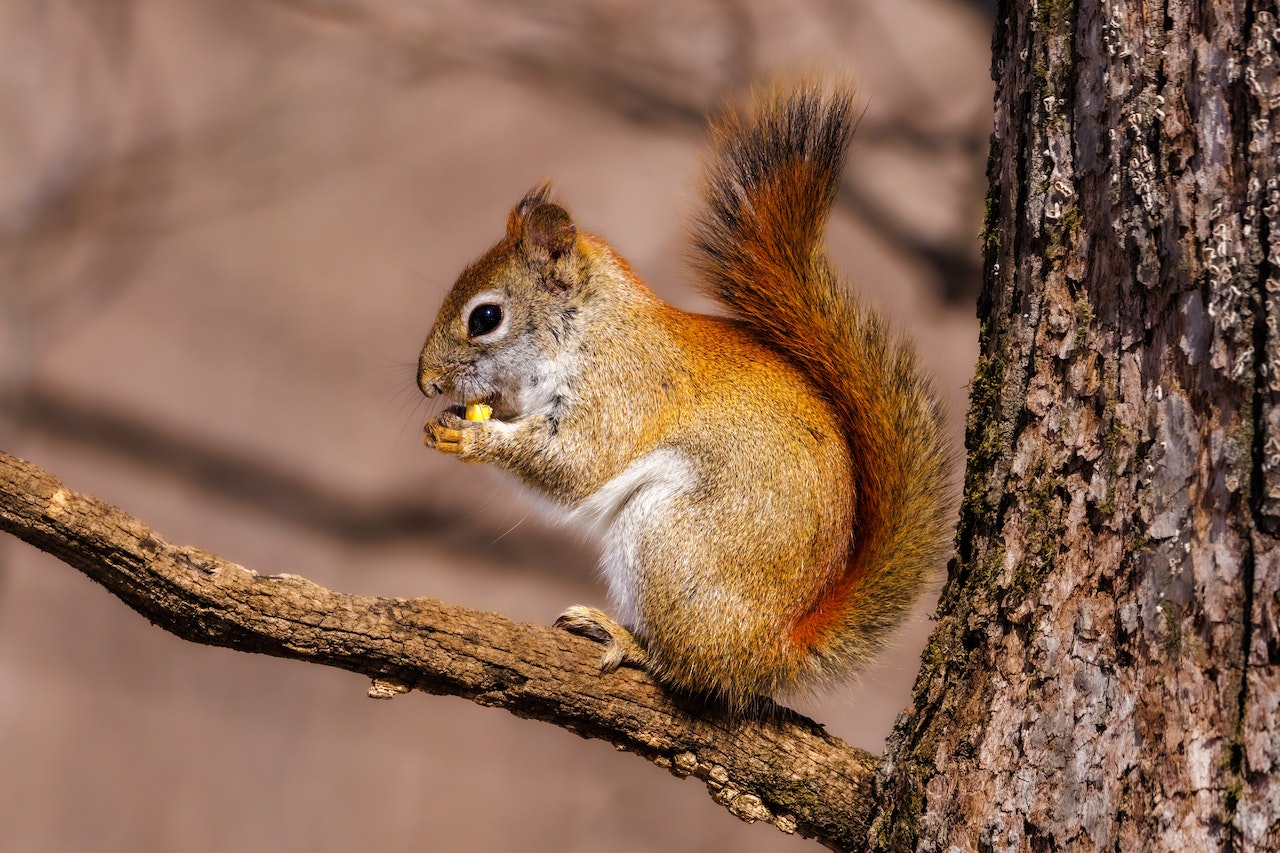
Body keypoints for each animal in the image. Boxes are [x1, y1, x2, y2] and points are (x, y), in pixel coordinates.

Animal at [417, 84, 952, 712]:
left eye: (485, 318)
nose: (426, 383)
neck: (589, 328)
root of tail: (775, 649)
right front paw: (449, 421)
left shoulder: (625, 388)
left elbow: (575, 464)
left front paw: (474, 436)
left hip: (668, 541)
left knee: (692, 670)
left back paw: (629, 641)